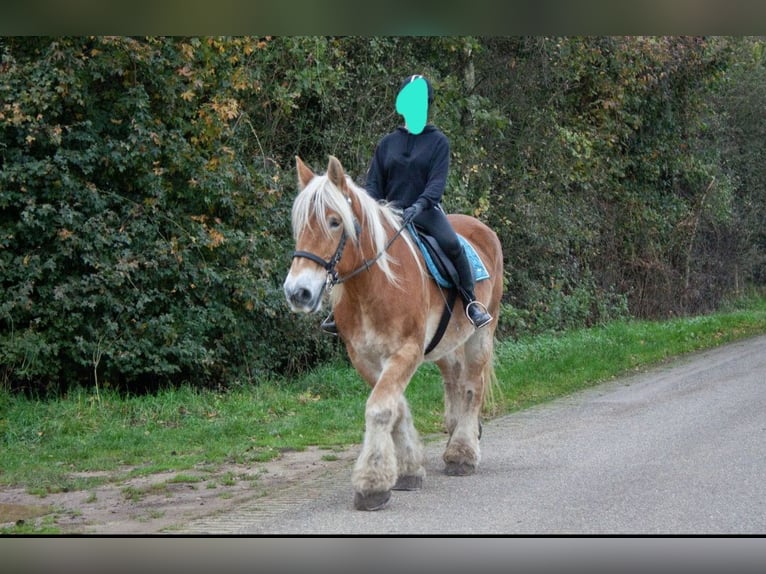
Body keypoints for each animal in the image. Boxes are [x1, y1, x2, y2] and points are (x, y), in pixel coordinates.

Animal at [282, 155, 504, 510]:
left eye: (334, 222)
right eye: (300, 225)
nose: (297, 292)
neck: (375, 286)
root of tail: (482, 229)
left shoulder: (406, 351)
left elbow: (380, 408)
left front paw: (372, 484)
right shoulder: (363, 357)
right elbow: (394, 407)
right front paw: (408, 469)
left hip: (481, 332)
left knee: (472, 386)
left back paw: (462, 452)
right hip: (444, 344)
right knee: (453, 379)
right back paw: (455, 431)